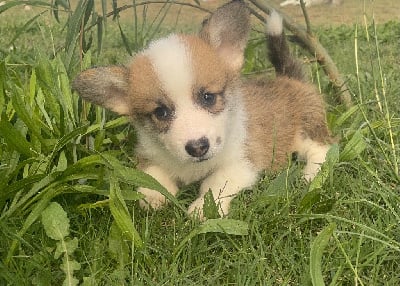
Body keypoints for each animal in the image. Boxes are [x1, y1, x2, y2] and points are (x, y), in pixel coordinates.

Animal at [72, 0, 332, 219]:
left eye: (208, 97)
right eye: (161, 112)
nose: (197, 147)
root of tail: (289, 78)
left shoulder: (242, 163)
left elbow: (216, 182)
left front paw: (202, 210)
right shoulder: (148, 155)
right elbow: (153, 175)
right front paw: (153, 196)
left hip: (307, 131)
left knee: (323, 149)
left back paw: (310, 175)